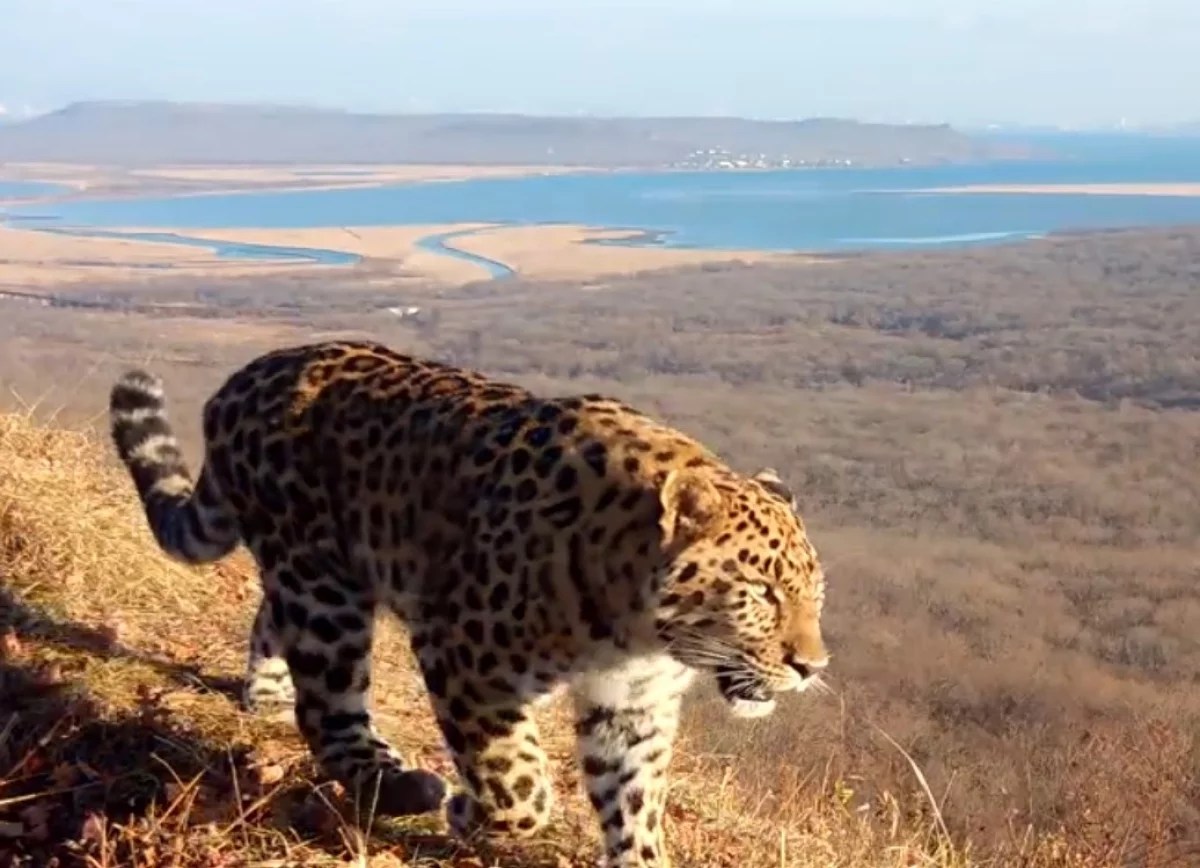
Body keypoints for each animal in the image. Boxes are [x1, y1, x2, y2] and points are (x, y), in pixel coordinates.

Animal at [108, 339, 829, 868]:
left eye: (815, 598)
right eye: (762, 593)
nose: (812, 667)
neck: (640, 634)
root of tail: (245, 377)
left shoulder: (635, 705)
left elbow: (635, 802)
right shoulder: (463, 657)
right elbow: (517, 779)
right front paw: (473, 813)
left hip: (319, 574)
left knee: (273, 622)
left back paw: (267, 696)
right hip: (325, 593)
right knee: (329, 707)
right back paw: (399, 784)